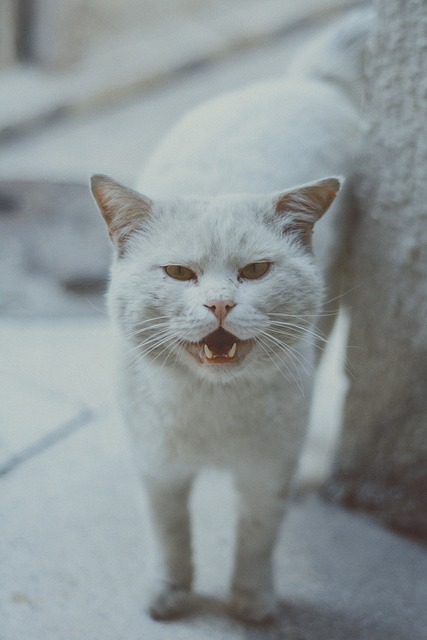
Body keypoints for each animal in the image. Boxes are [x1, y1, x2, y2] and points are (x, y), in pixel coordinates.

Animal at [91, 7, 372, 624]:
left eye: (256, 271)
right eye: (178, 274)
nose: (220, 304)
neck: (212, 406)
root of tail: (303, 83)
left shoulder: (268, 473)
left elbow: (258, 536)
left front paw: (252, 603)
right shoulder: (158, 470)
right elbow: (170, 534)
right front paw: (168, 594)